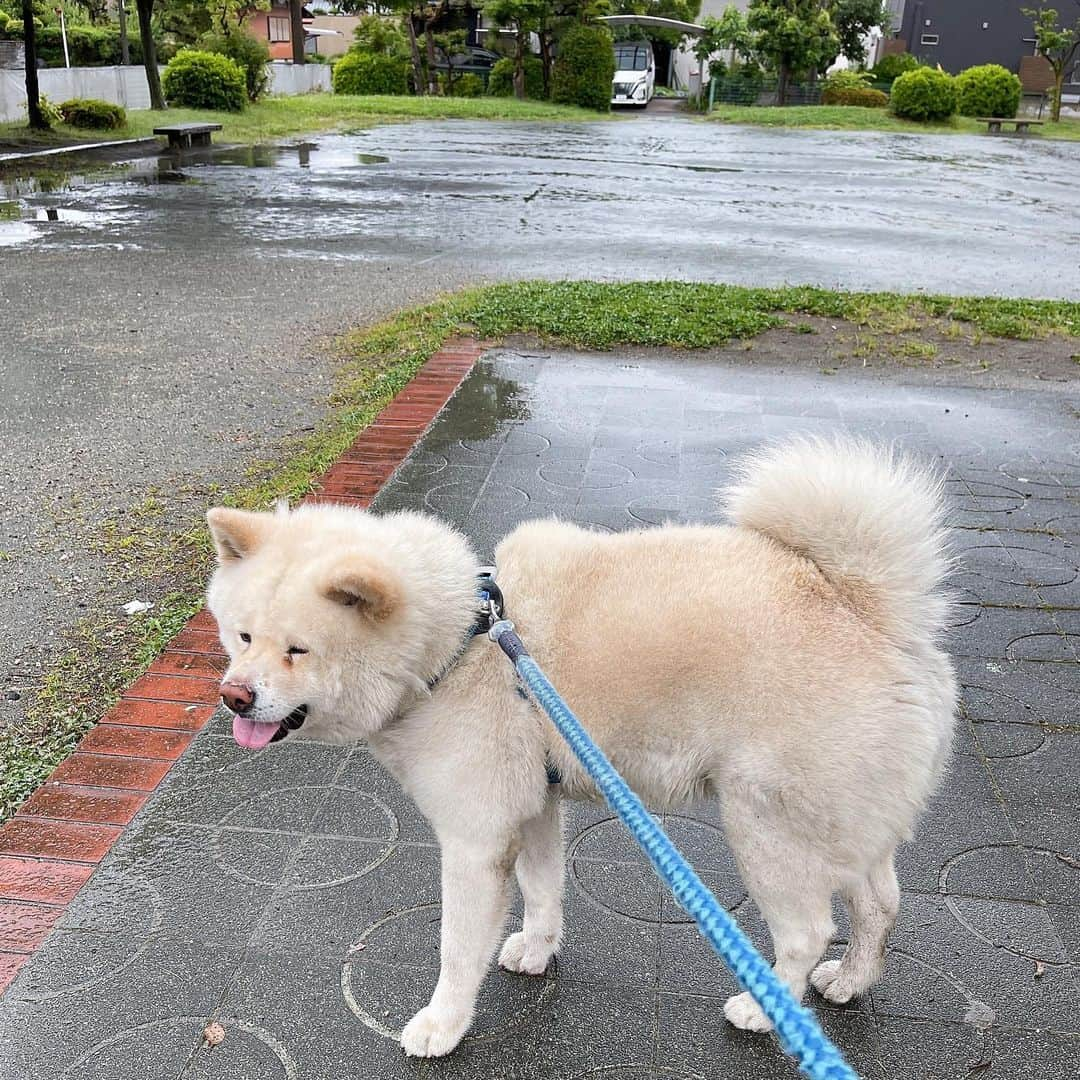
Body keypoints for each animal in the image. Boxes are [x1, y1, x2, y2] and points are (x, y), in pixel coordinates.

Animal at [206, 436, 959, 1054]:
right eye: (242, 635)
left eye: (298, 650)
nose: (234, 696)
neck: (457, 644)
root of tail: (871, 611)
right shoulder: (535, 805)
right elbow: (544, 891)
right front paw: (538, 952)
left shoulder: (475, 839)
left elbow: (457, 949)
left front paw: (442, 1025)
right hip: (844, 822)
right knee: (879, 904)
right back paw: (851, 980)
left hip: (766, 828)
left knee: (805, 931)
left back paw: (766, 1009)